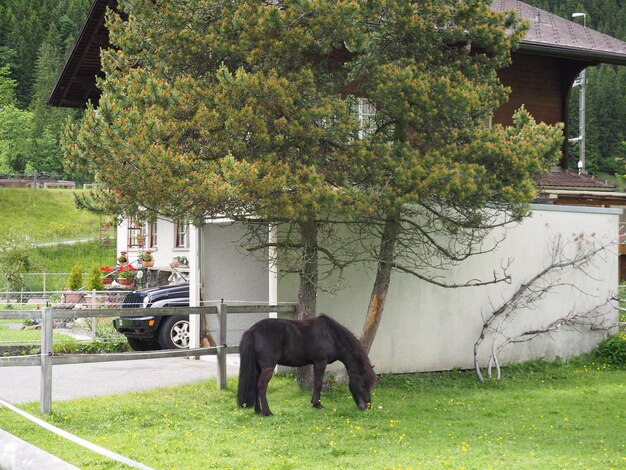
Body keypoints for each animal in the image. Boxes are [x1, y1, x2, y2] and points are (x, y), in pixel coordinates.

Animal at [236, 314, 376, 416]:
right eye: (362, 384)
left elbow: (315, 383)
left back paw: (258, 410)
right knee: (261, 386)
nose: (367, 406)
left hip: (258, 368)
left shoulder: (315, 363)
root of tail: (253, 330)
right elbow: (319, 383)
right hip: (268, 368)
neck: (332, 335)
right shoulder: (321, 362)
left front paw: (313, 402)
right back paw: (267, 412)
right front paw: (318, 405)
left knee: (255, 385)